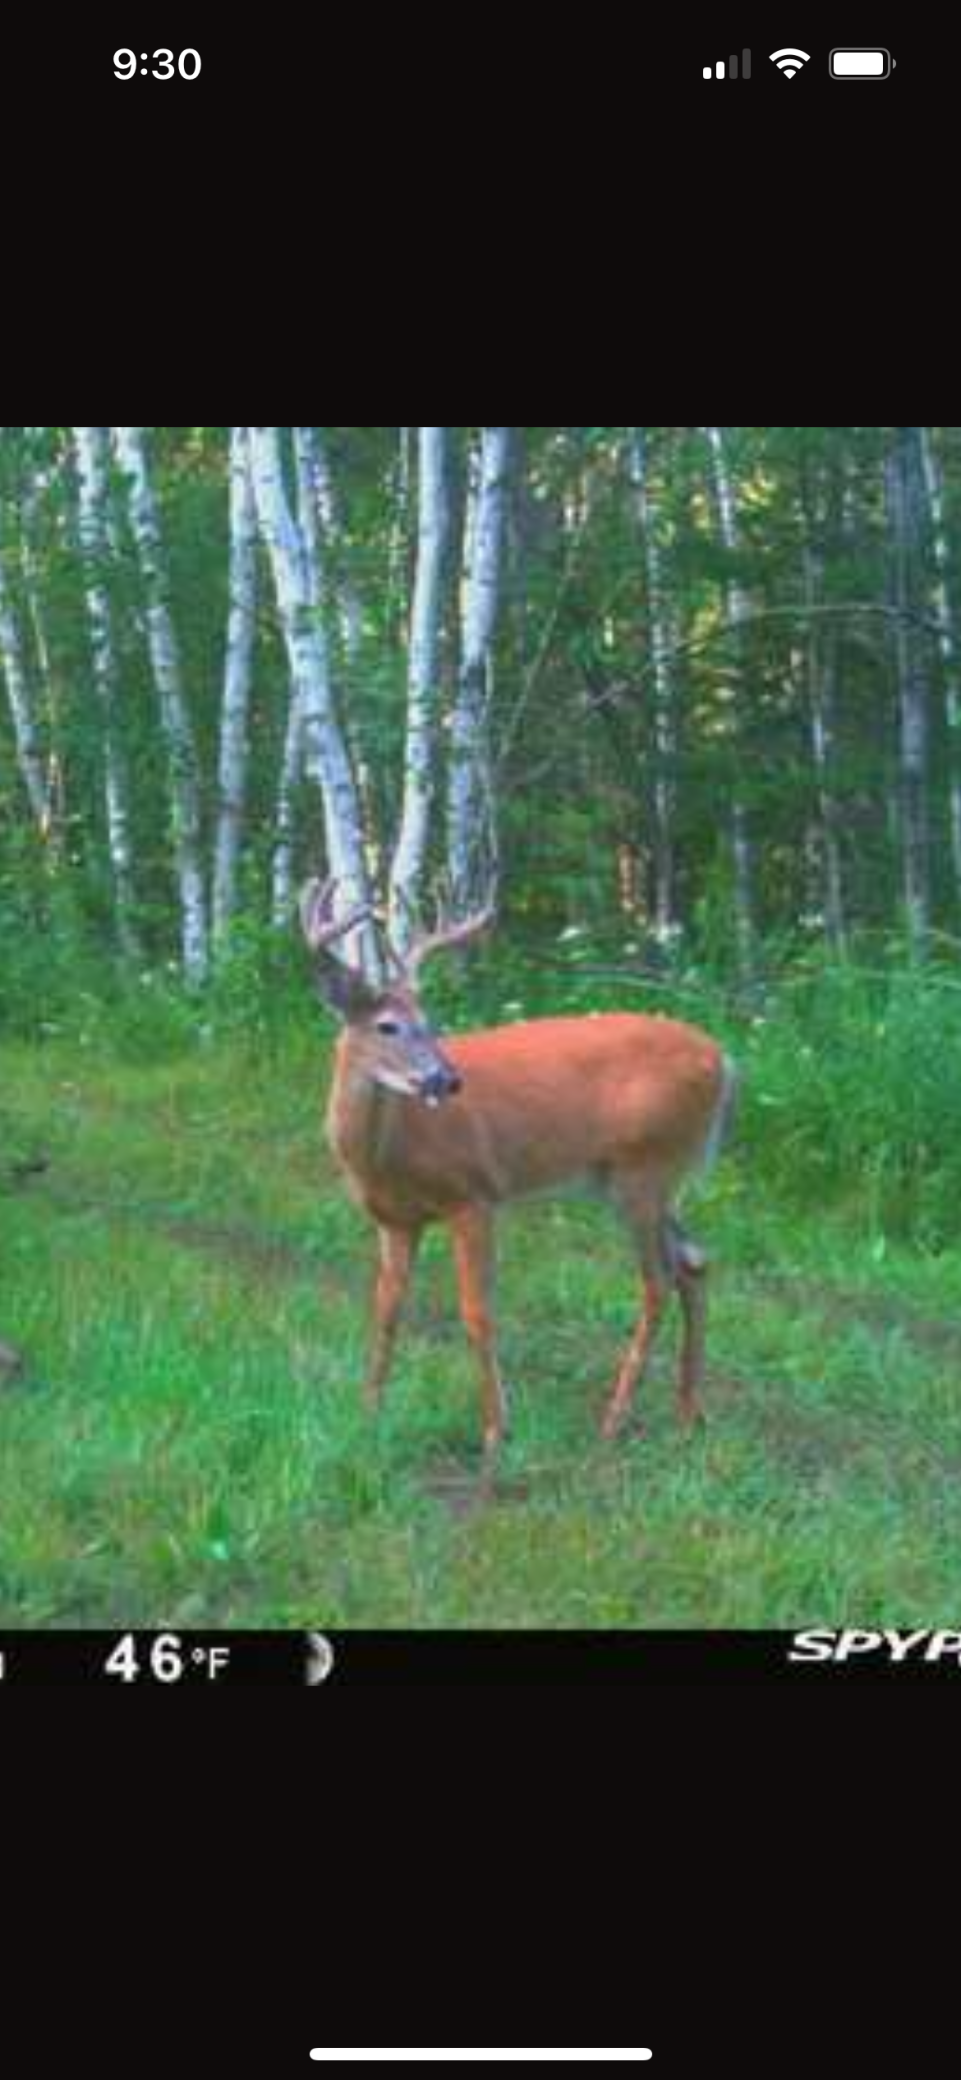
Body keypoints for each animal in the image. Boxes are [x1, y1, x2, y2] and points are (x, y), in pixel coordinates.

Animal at [301, 877, 737, 1461]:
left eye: (430, 1023)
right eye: (387, 1025)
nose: (447, 1079)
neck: (388, 1154)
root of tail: (725, 1062)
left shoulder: (474, 1194)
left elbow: (476, 1310)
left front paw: (495, 1430)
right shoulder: (393, 1220)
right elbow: (387, 1308)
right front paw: (369, 1412)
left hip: (646, 1167)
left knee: (658, 1281)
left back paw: (614, 1420)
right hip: (639, 1180)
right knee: (695, 1261)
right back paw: (689, 1413)